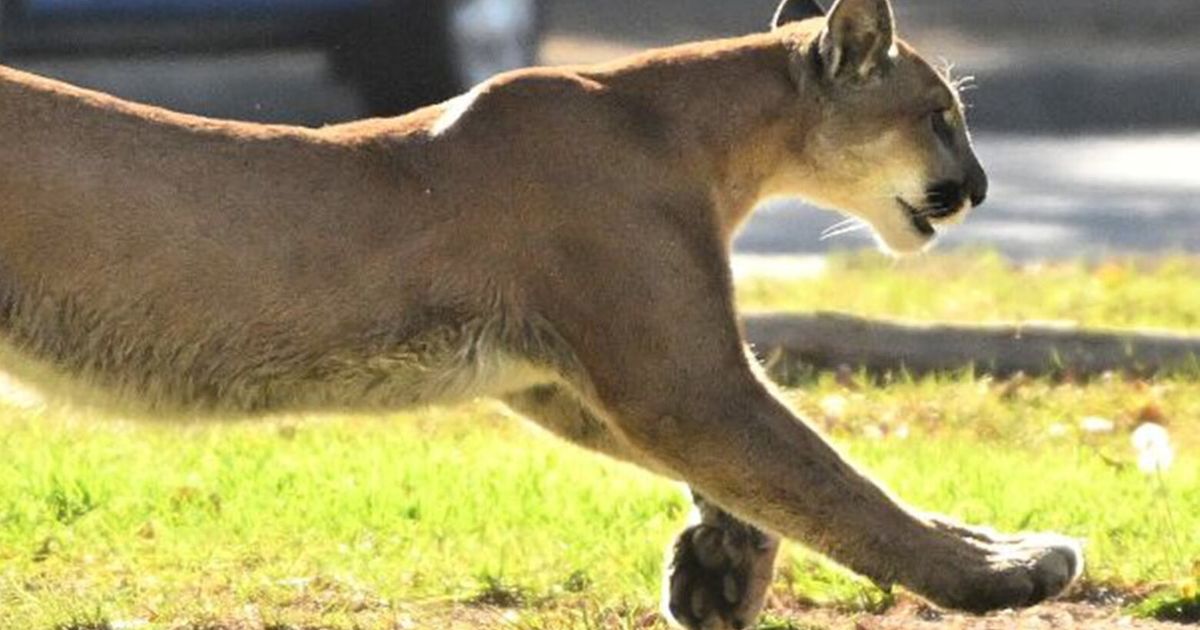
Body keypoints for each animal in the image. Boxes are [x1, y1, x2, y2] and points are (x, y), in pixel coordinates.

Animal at [0, 0, 1081, 627]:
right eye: (941, 114)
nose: (982, 187)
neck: (710, 141)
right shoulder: (676, 375)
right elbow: (828, 475)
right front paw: (999, 571)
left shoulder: (557, 375)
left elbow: (779, 472)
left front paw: (722, 573)